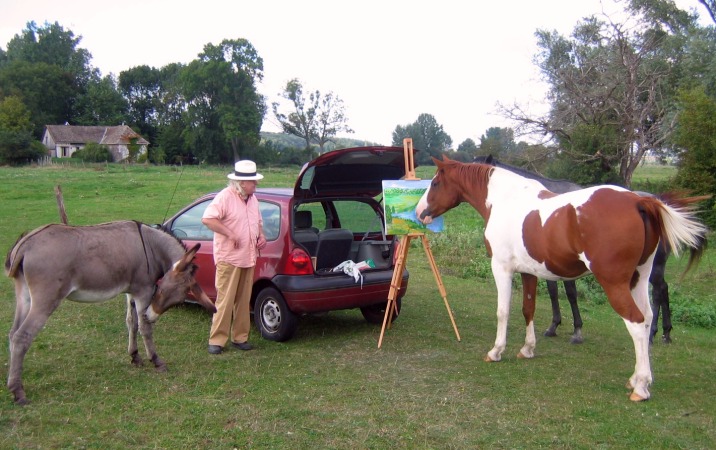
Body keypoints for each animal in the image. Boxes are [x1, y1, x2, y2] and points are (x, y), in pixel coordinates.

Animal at [4, 220, 217, 405]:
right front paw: (156, 361)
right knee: (22, 336)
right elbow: (145, 328)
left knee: (13, 333)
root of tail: (26, 243)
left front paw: (135, 356)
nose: (151, 315)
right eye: (161, 290)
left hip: (23, 295)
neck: (151, 245)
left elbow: (132, 323)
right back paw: (18, 392)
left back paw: (12, 378)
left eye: (178, 301)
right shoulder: (143, 291)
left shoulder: (131, 291)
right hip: (46, 299)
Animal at [473, 155, 682, 344]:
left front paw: (577, 331)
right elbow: (553, 292)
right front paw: (554, 326)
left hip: (652, 267)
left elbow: (571, 294)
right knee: (663, 289)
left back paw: (653, 332)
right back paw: (665, 332)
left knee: (658, 292)